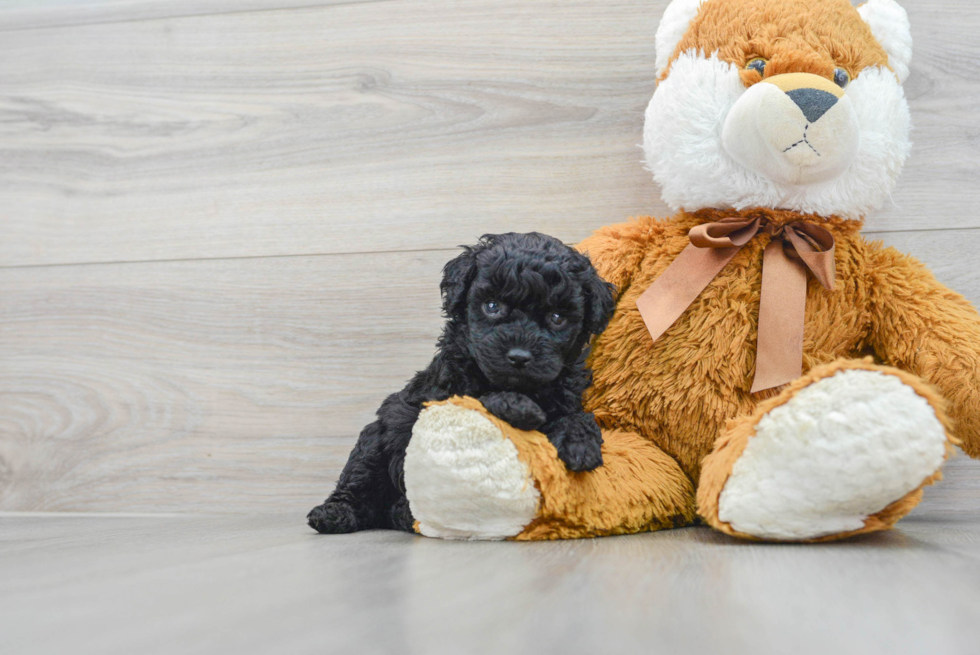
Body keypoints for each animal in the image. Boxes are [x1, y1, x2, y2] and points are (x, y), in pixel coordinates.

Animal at [308, 233, 612, 536]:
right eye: (492, 306)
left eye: (557, 318)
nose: (519, 356)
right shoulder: (445, 395)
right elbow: (483, 399)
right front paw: (521, 407)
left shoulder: (566, 393)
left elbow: (577, 415)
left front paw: (580, 443)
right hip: (375, 439)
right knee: (359, 480)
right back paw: (335, 513)